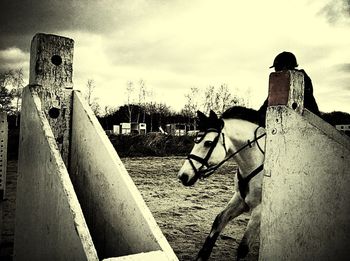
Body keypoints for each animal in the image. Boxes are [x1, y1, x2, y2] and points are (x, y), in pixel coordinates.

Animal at [178, 106, 266, 258]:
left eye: (208, 143)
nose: (183, 176)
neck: (258, 161)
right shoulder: (240, 199)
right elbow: (218, 222)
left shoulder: (259, 209)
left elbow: (243, 248)